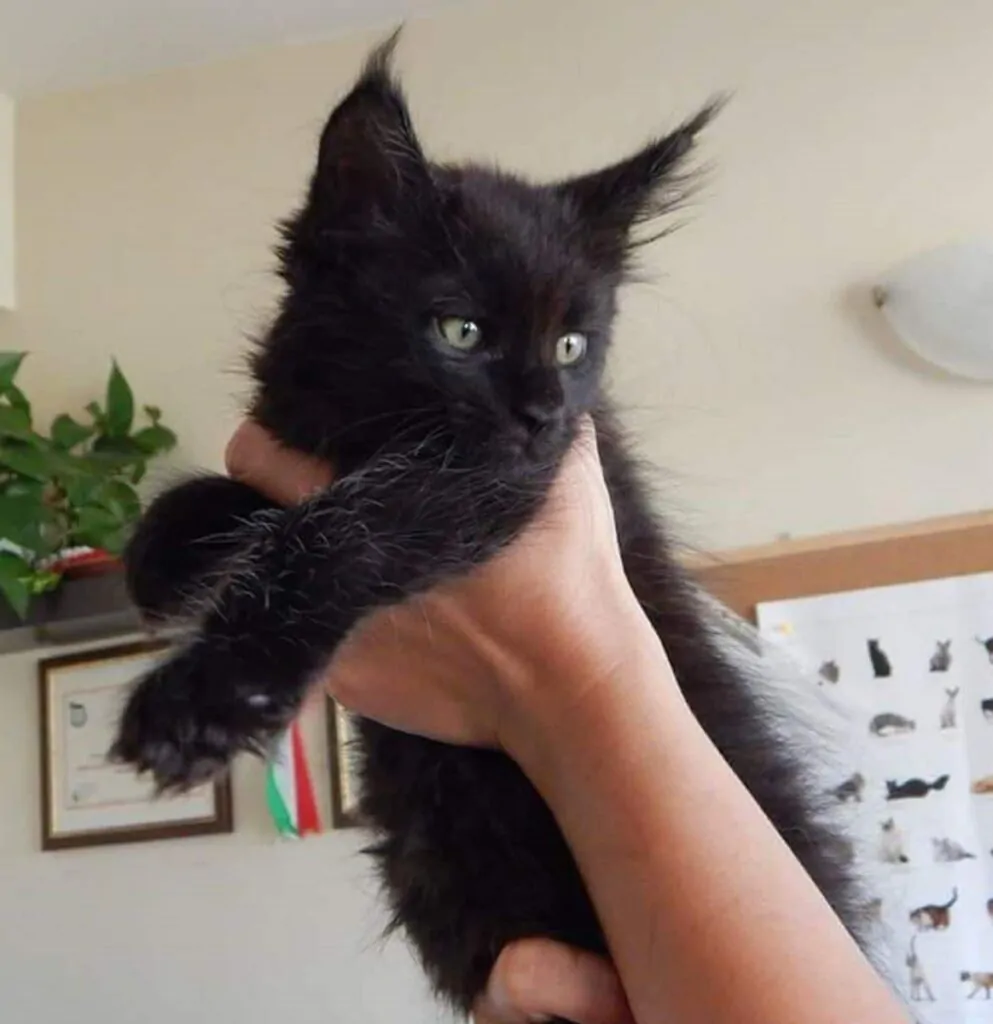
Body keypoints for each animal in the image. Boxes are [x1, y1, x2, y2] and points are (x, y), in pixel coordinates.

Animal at [114, 34, 868, 1015]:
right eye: (461, 331)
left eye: (571, 345)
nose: (542, 411)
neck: (356, 429)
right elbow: (260, 504)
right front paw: (162, 544)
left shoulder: (504, 483)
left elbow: (337, 530)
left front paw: (207, 695)